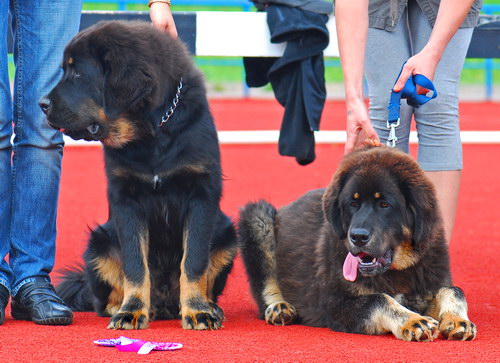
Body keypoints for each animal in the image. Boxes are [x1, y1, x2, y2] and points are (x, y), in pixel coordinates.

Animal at [42, 21, 237, 332]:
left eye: (79, 72)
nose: (42, 104)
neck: (152, 134)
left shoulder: (201, 195)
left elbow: (193, 262)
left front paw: (197, 310)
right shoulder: (126, 199)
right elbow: (135, 265)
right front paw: (131, 311)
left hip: (227, 234)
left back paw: (210, 307)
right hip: (99, 243)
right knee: (103, 297)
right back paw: (128, 307)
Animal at [241, 146, 476, 342]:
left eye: (384, 204)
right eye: (352, 204)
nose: (358, 237)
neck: (396, 270)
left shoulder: (426, 287)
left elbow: (453, 289)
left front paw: (457, 320)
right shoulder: (335, 304)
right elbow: (379, 299)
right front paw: (413, 321)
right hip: (257, 217)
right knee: (267, 286)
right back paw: (279, 307)